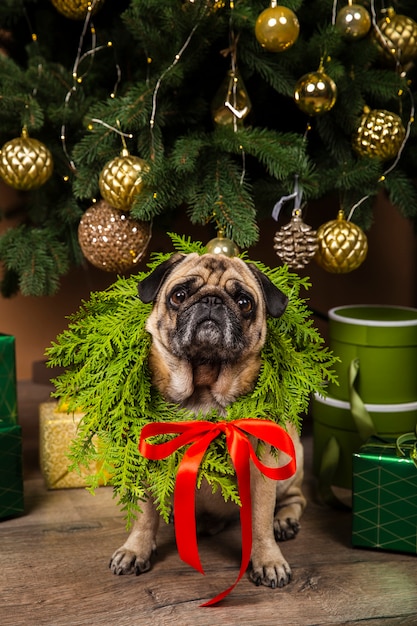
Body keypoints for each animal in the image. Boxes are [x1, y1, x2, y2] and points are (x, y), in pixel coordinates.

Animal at [110, 251, 306, 588]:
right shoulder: (149, 463)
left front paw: (268, 560)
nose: (212, 300)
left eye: (244, 302)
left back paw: (284, 520)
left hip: (289, 459)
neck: (203, 387)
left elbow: (260, 521)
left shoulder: (261, 470)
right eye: (179, 295)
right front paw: (135, 550)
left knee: (295, 497)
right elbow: (144, 516)